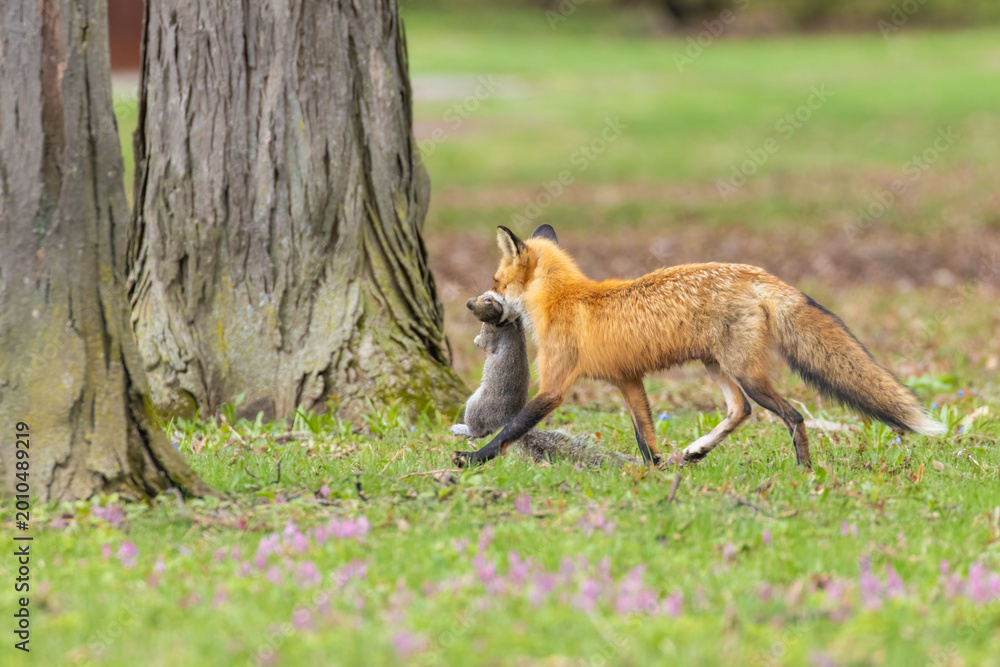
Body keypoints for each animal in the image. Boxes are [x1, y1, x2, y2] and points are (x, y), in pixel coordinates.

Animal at [451, 291, 638, 467]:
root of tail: (507, 419)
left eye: (487, 301)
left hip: (476, 406)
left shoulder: (491, 335)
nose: (468, 303)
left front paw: (476, 340)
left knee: (479, 431)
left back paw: (460, 428)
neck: (510, 325)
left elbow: (483, 342)